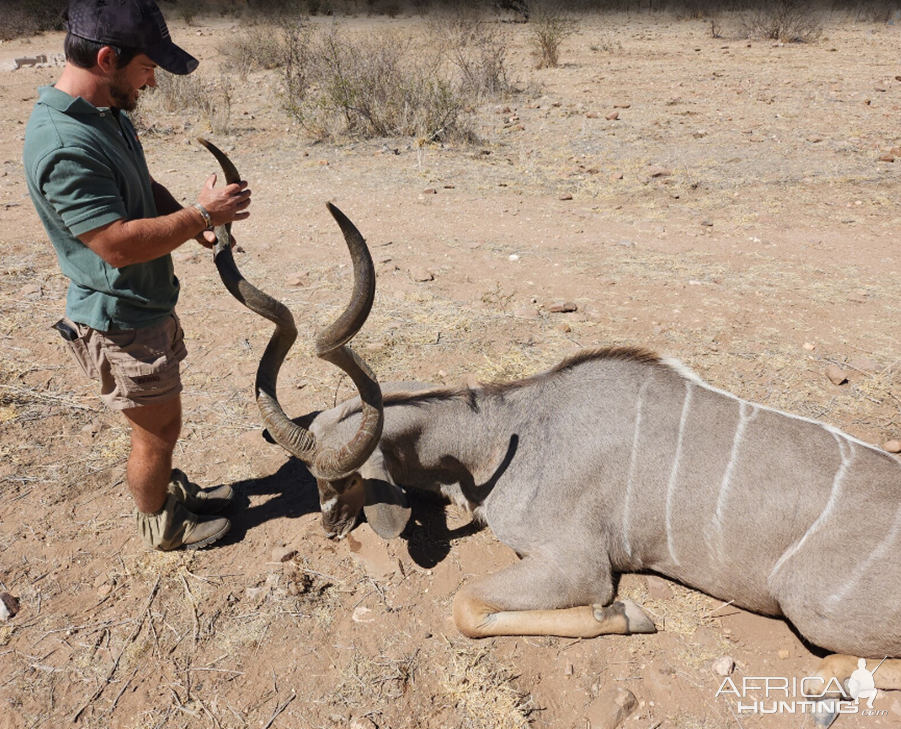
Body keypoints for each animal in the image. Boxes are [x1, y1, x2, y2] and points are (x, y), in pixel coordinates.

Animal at [200, 141, 896, 724]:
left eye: (344, 480)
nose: (330, 526)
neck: (511, 433)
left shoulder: (578, 564)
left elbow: (470, 606)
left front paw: (628, 614)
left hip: (806, 606)